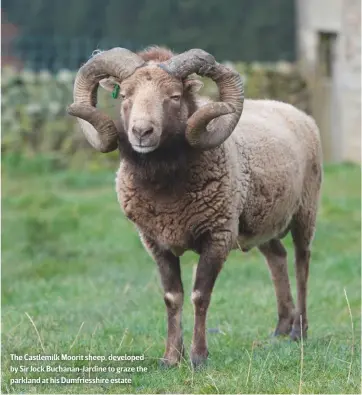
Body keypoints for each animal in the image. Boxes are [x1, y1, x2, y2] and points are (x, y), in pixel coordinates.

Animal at [67, 45, 322, 368]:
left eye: (174, 96)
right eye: (124, 95)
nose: (142, 132)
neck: (166, 190)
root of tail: (293, 110)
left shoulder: (218, 235)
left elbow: (201, 295)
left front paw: (199, 357)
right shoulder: (155, 241)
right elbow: (172, 296)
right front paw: (170, 357)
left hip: (305, 211)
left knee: (302, 264)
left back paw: (299, 331)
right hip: (260, 222)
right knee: (277, 258)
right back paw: (280, 329)